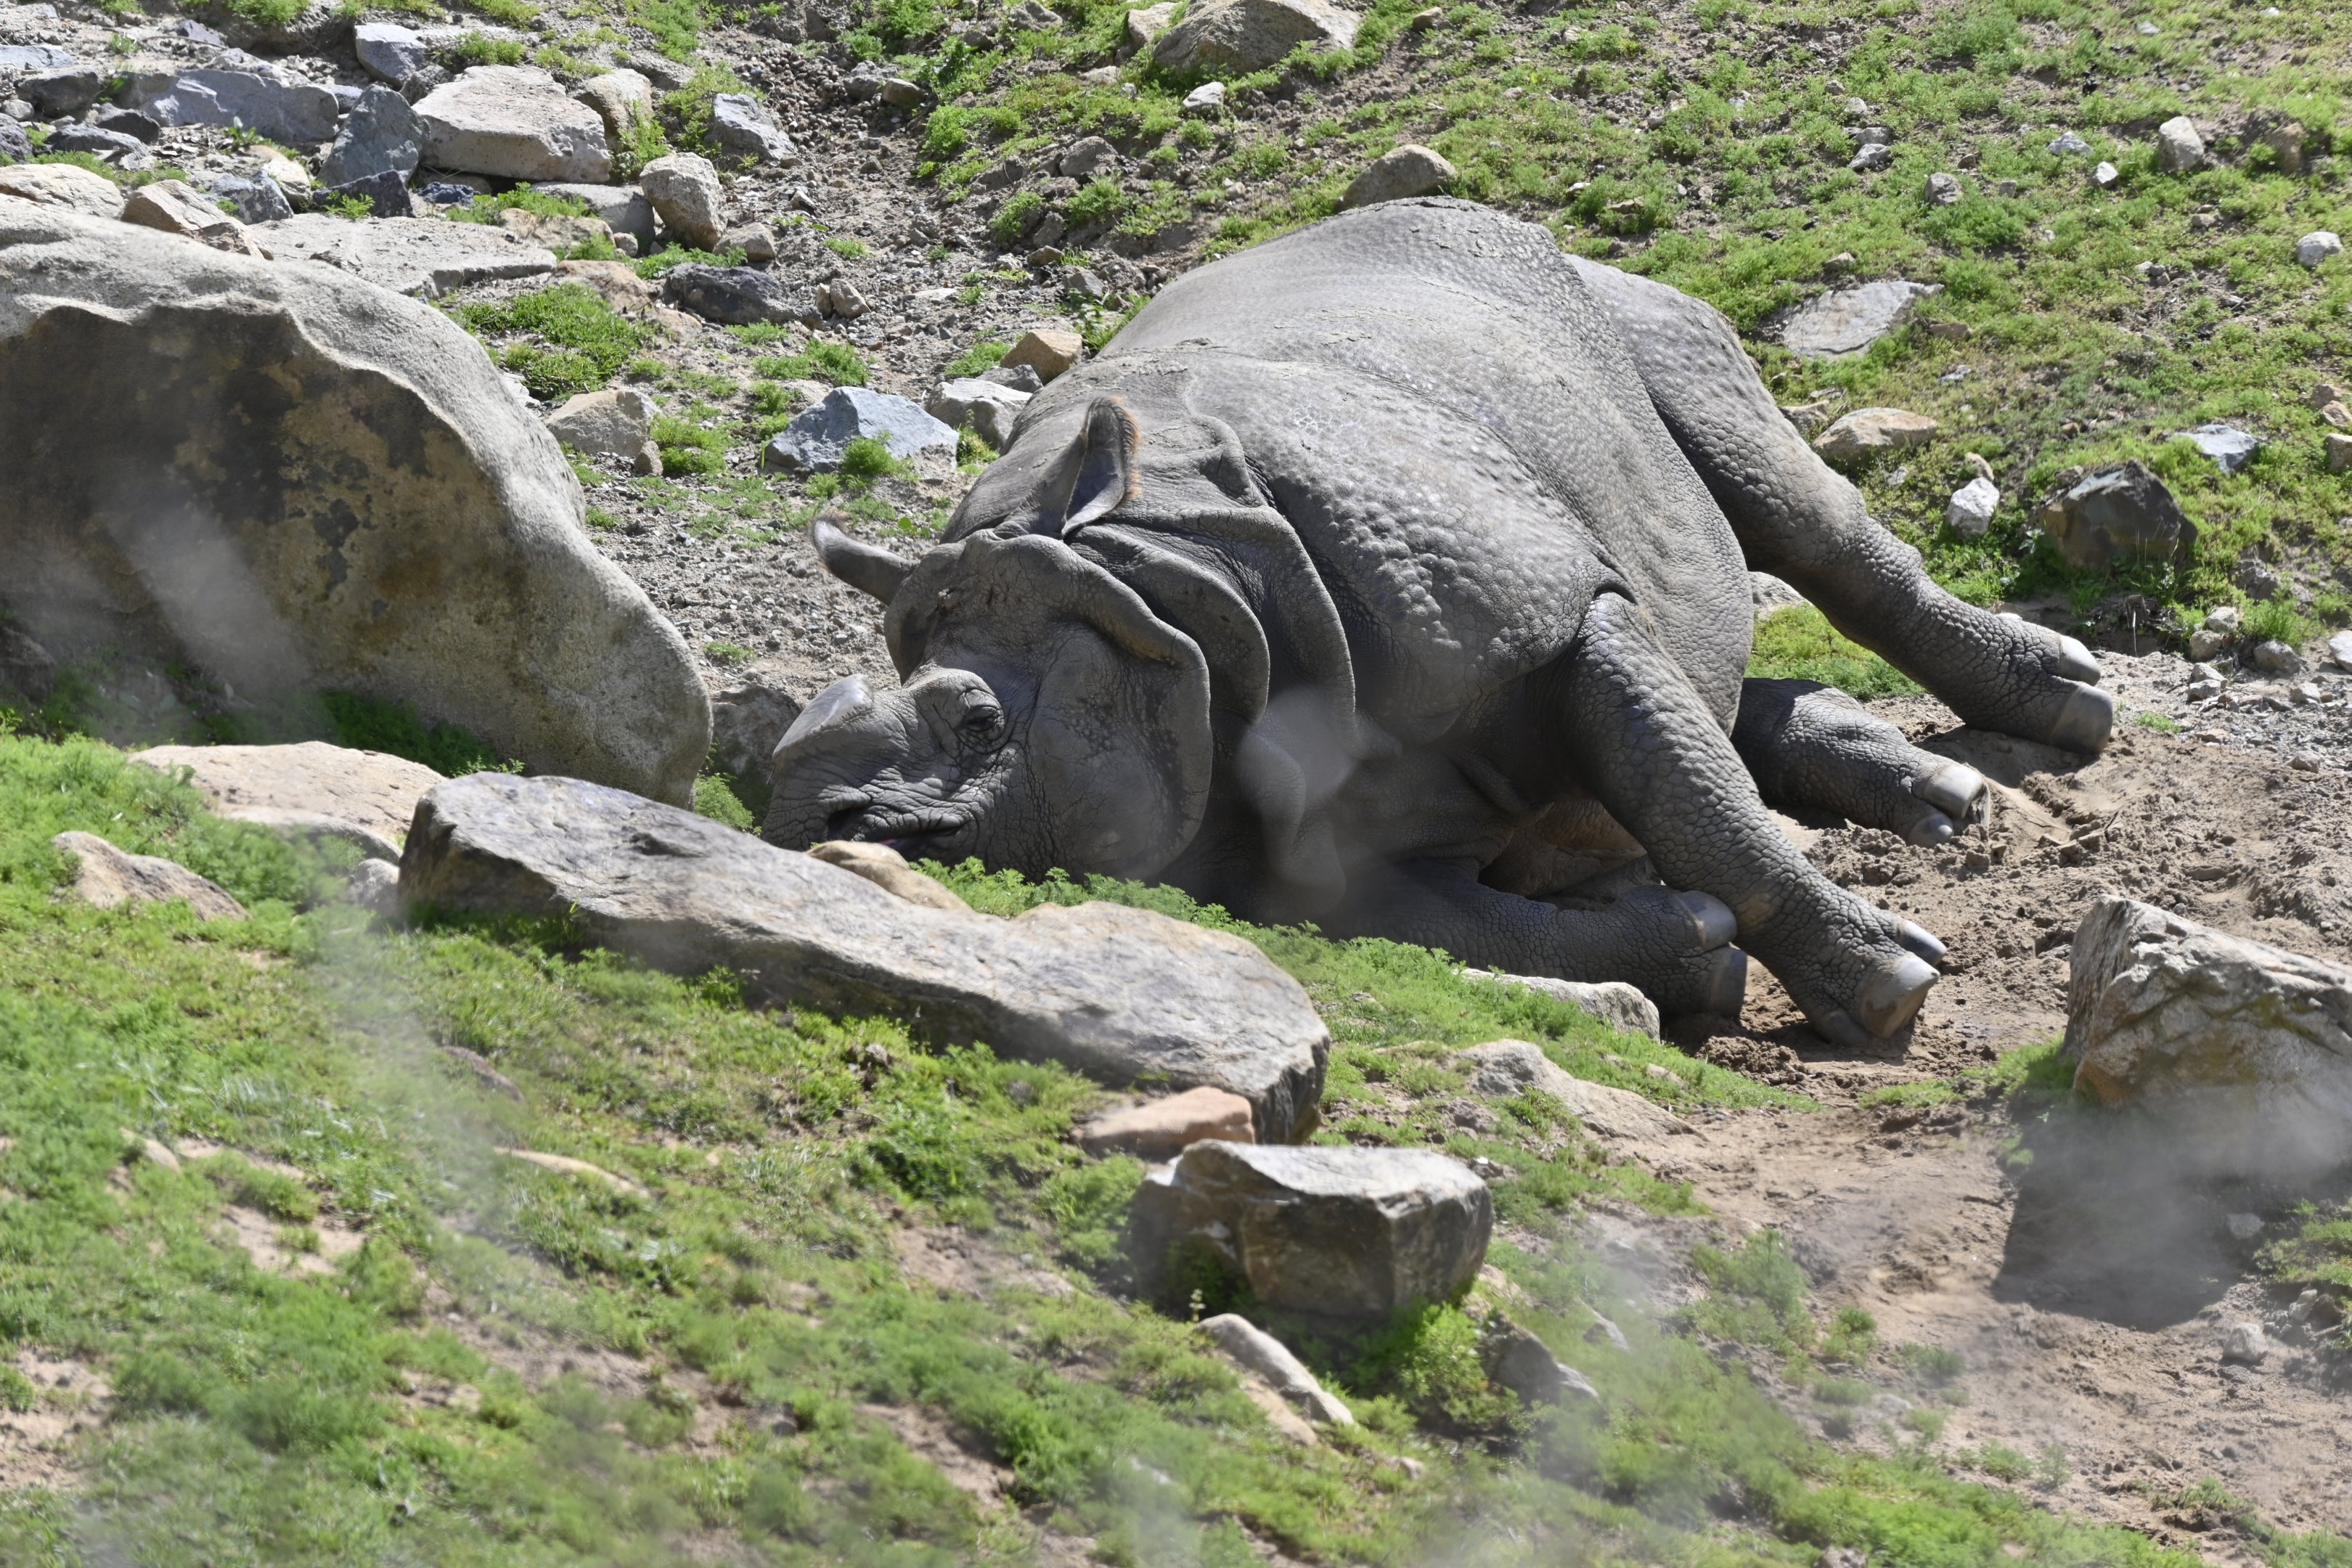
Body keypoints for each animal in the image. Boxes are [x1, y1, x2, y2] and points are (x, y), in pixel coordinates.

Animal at [767, 200, 2111, 1047]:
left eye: (977, 719)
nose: (807, 821)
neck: (1167, 594)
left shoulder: (1543, 603)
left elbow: (1691, 796)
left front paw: (1888, 991)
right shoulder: (1297, 862)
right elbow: (1466, 923)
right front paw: (1696, 948)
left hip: (1613, 304)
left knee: (1783, 510)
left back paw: (2065, 710)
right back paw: (1942, 800)